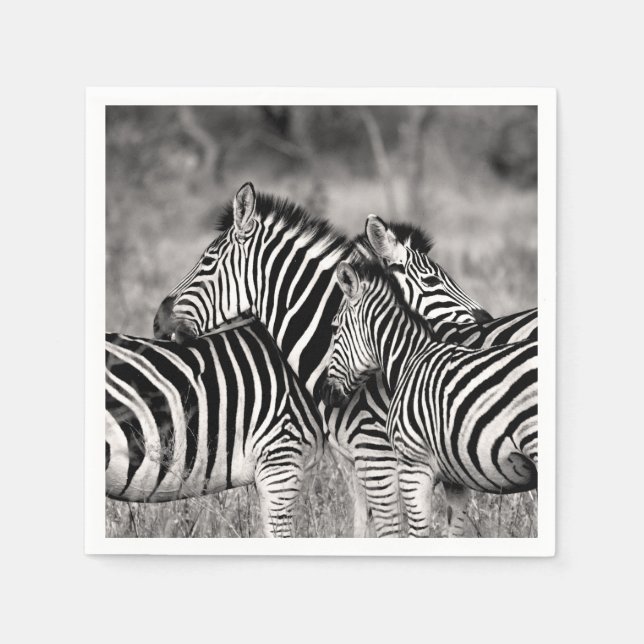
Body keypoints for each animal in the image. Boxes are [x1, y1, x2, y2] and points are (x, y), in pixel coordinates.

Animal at [323, 259, 538, 538]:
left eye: (334, 328)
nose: (326, 393)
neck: (410, 359)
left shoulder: (413, 464)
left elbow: (417, 532)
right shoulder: (455, 477)